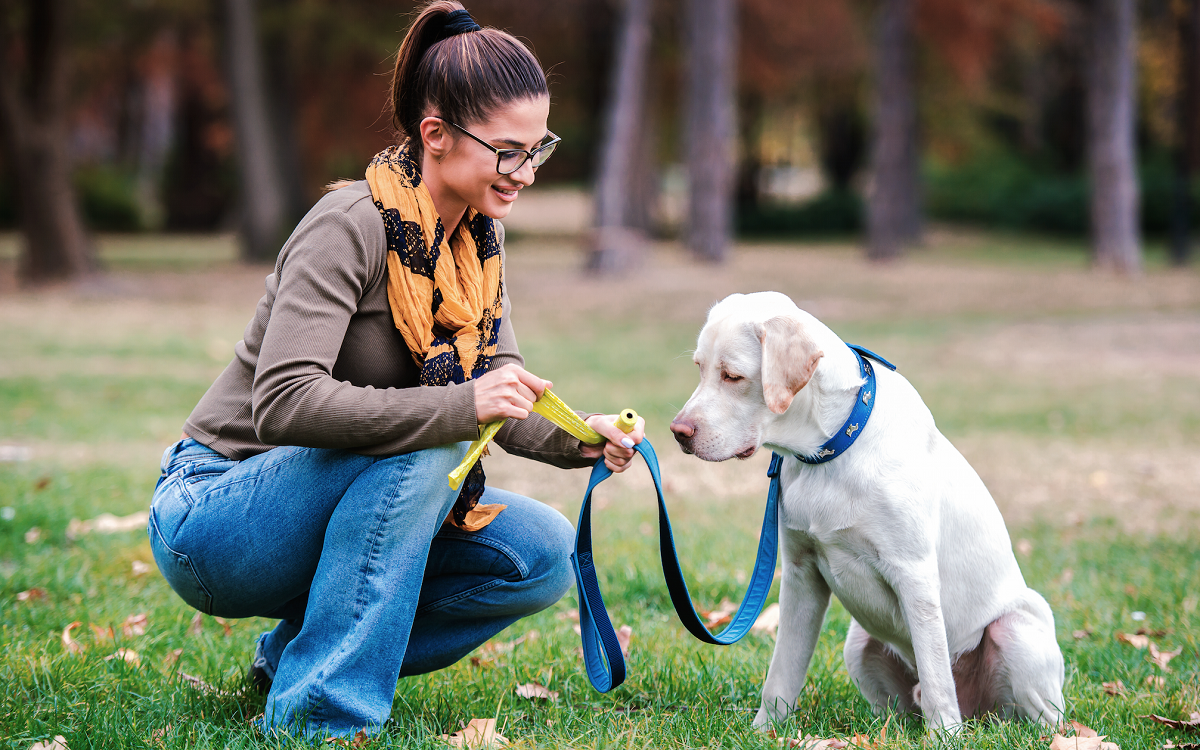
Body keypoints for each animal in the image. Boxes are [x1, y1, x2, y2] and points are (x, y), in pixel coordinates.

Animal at [672, 291, 1065, 729]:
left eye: (733, 376)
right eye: (699, 369)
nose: (677, 432)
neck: (829, 450)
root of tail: (978, 713)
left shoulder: (915, 575)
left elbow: (936, 678)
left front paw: (945, 736)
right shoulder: (801, 574)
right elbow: (781, 672)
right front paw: (764, 731)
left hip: (1016, 629)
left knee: (1036, 717)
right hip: (858, 643)